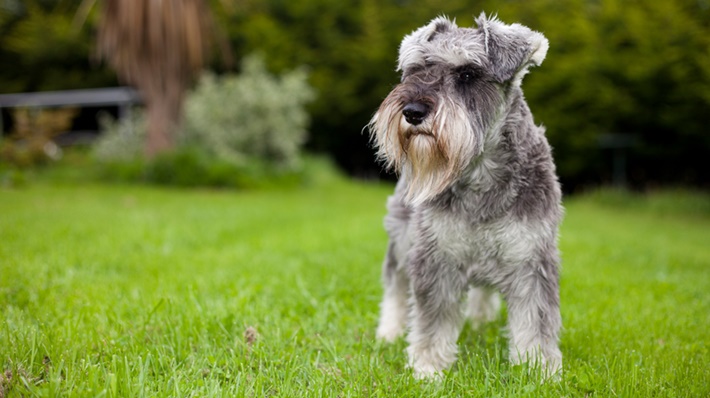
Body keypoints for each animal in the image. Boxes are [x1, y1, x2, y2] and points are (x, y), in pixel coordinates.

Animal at [370, 13, 564, 380]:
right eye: (416, 70)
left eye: (467, 74)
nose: (413, 111)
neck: (479, 174)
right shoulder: (435, 257)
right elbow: (432, 320)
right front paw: (428, 368)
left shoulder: (531, 259)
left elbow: (535, 320)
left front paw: (538, 371)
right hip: (401, 239)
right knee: (395, 285)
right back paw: (389, 331)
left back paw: (480, 320)